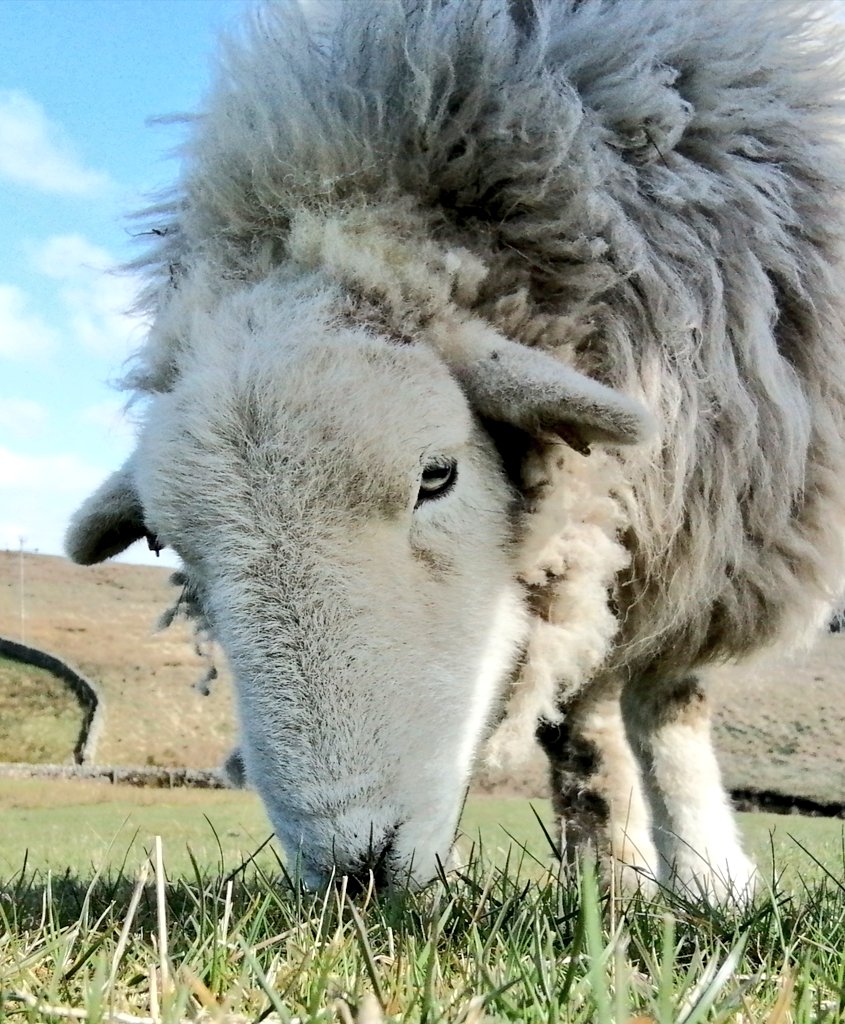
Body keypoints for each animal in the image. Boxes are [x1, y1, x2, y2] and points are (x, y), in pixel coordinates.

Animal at [66, 0, 845, 900]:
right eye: (165, 543)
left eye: (437, 476)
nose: (355, 868)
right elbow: (580, 719)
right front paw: (606, 877)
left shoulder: (712, 505)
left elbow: (663, 698)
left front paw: (709, 884)